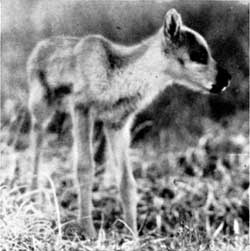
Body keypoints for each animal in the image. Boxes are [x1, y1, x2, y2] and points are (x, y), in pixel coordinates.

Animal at [26, 9, 230, 237]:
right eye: (199, 55)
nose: (226, 79)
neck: (115, 77)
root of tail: (40, 46)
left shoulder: (118, 124)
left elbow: (126, 181)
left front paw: (133, 235)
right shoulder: (81, 109)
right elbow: (85, 169)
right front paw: (89, 232)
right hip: (41, 107)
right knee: (36, 145)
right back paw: (32, 196)